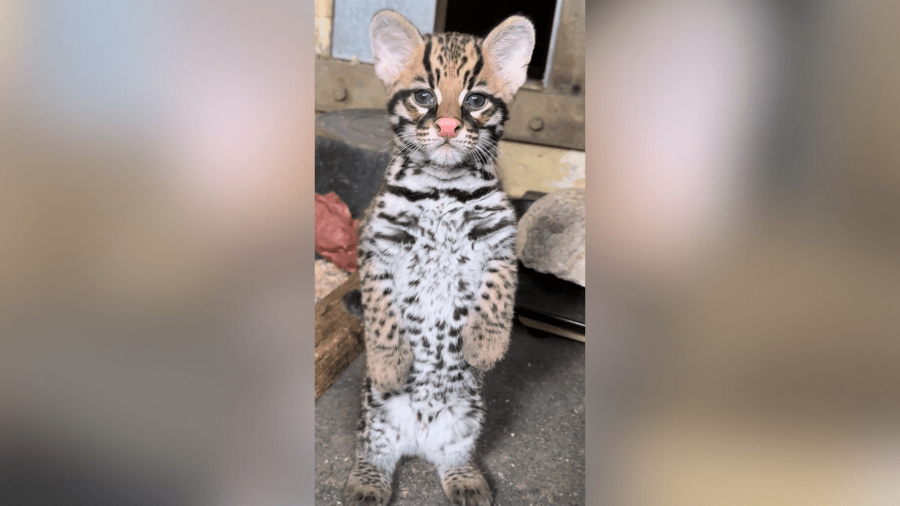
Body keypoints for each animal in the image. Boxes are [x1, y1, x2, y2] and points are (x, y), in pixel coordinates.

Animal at [342, 8, 532, 506]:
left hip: (467, 418)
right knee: (373, 453)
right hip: (374, 418)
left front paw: (485, 345)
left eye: (477, 100)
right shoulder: (376, 245)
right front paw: (389, 362)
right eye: (424, 96)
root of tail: (418, 441)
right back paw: (365, 484)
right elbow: (381, 311)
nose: (447, 127)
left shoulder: (502, 240)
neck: (443, 187)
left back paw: (466, 480)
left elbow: (499, 291)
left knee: (454, 457)